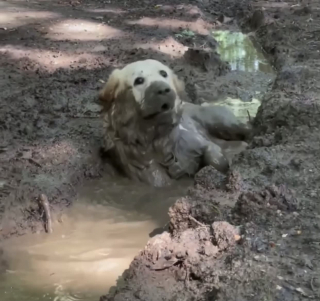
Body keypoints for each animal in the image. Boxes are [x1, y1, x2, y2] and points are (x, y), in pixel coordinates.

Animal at [99, 59, 251, 186]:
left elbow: (214, 157)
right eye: (139, 80)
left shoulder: (201, 143)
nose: (163, 89)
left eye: (163, 73)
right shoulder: (153, 177)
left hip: (223, 122)